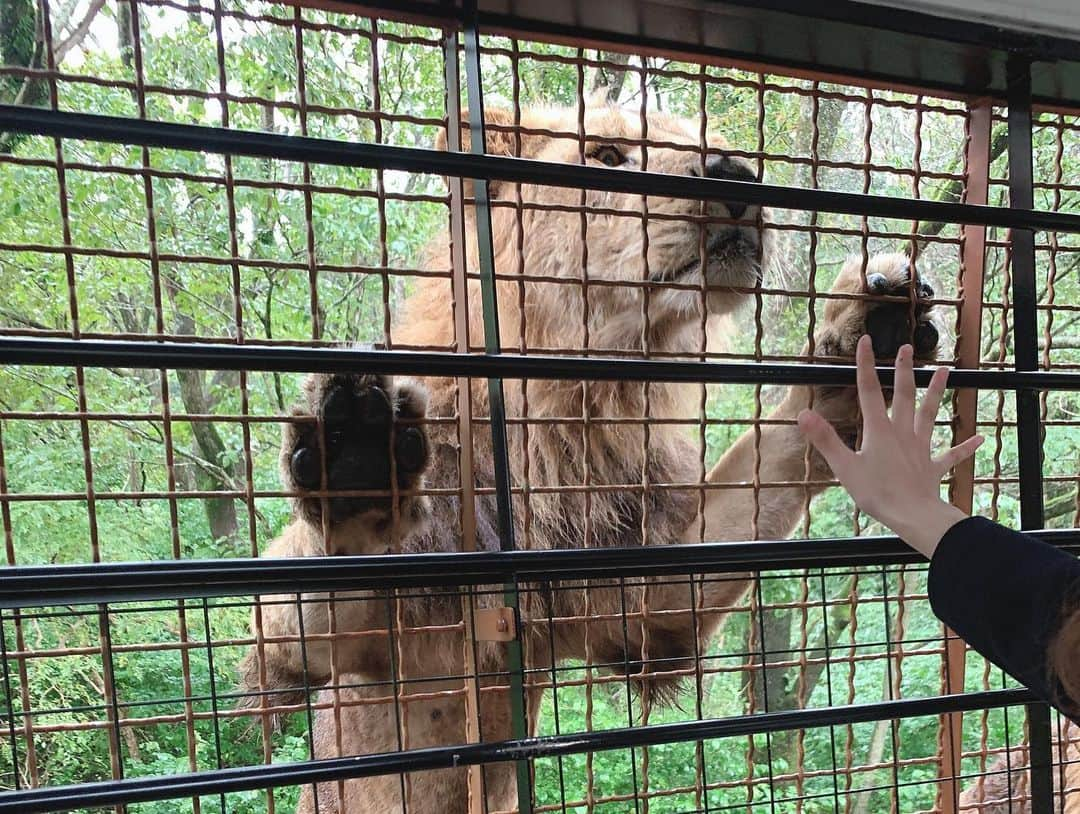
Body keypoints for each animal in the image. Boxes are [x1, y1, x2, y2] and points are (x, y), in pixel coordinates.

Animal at [236, 104, 937, 807]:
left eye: (712, 145)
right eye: (606, 156)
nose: (735, 174)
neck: (579, 405)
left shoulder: (645, 608)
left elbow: (778, 447)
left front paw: (866, 336)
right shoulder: (336, 646)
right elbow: (316, 590)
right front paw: (355, 457)